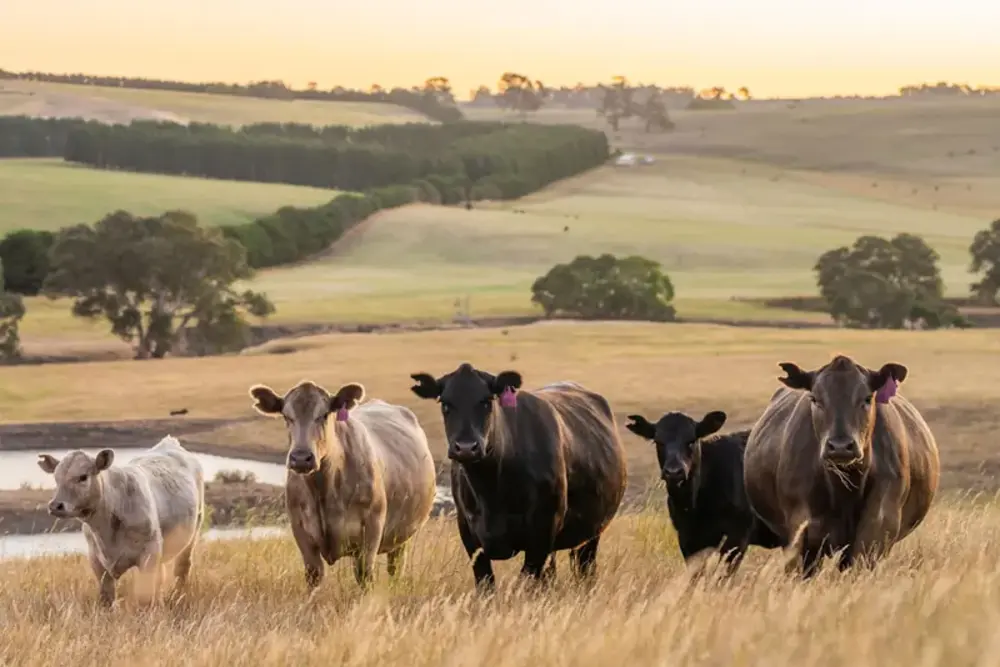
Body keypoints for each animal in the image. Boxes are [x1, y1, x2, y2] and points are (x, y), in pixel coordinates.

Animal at [37, 435, 205, 607]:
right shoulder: (97, 560)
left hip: (193, 532)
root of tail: (169, 442)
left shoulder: (149, 555)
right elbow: (107, 597)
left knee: (182, 568)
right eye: (56, 478)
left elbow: (145, 597)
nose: (55, 505)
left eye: (83, 477)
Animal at [248, 379, 437, 592]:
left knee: (395, 569)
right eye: (287, 416)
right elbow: (313, 575)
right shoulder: (300, 530)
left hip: (402, 536)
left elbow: (364, 576)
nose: (301, 458)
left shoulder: (371, 529)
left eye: (323, 415)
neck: (323, 490)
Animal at [408, 363, 627, 590]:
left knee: (585, 570)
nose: (466, 448)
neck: (491, 490)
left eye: (486, 401)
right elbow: (485, 584)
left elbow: (527, 582)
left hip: (593, 532)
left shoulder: (543, 531)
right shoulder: (468, 531)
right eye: (445, 404)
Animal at [743, 355, 940, 578]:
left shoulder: (879, 524)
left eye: (867, 398)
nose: (840, 446)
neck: (844, 487)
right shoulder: (800, 529)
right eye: (815, 399)